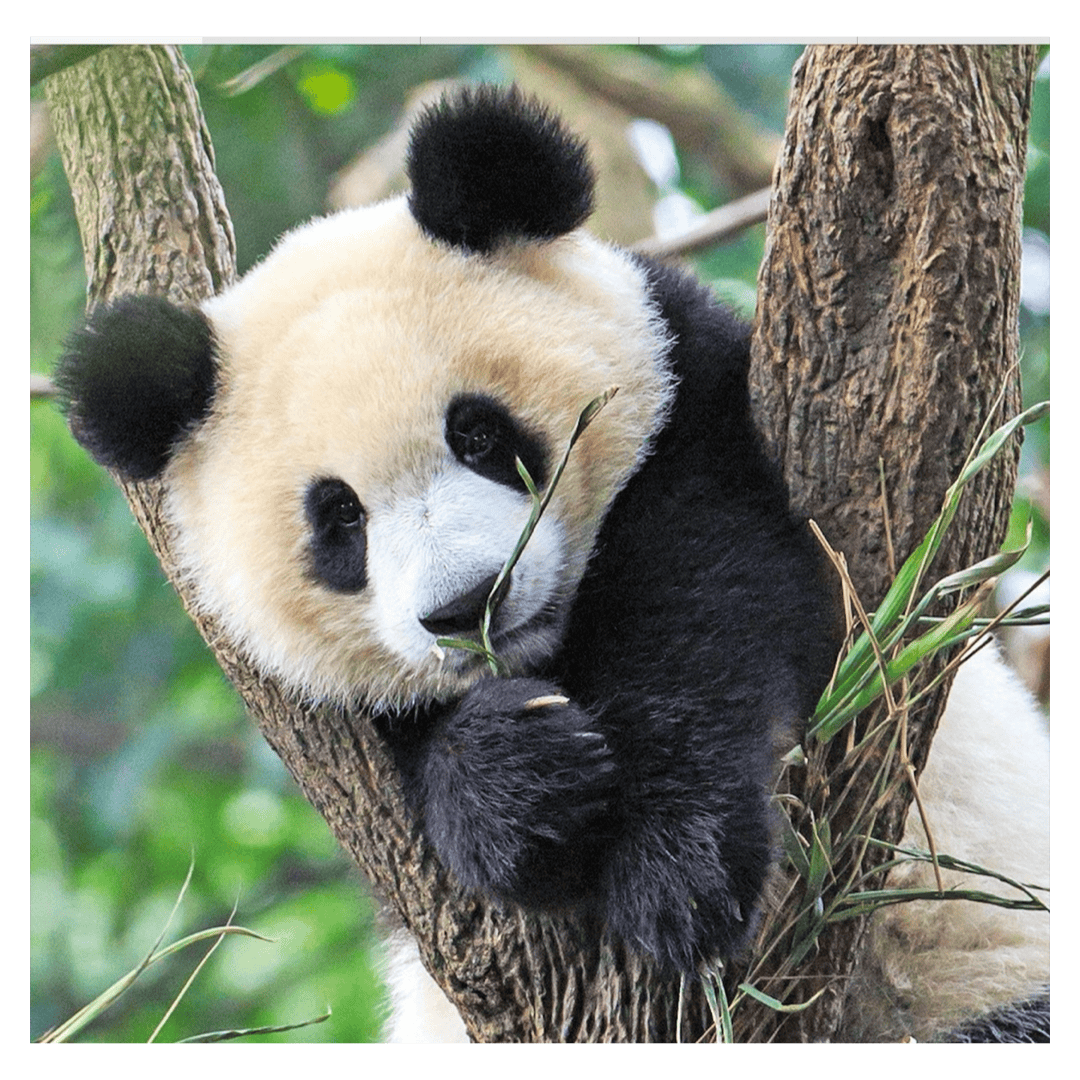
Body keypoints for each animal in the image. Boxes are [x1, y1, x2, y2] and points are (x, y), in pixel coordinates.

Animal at [55, 85, 1048, 1043]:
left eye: (479, 433)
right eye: (339, 518)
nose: (469, 605)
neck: (550, 648)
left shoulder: (699, 409)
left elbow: (715, 605)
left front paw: (679, 872)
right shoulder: (336, 737)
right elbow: (419, 805)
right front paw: (518, 777)